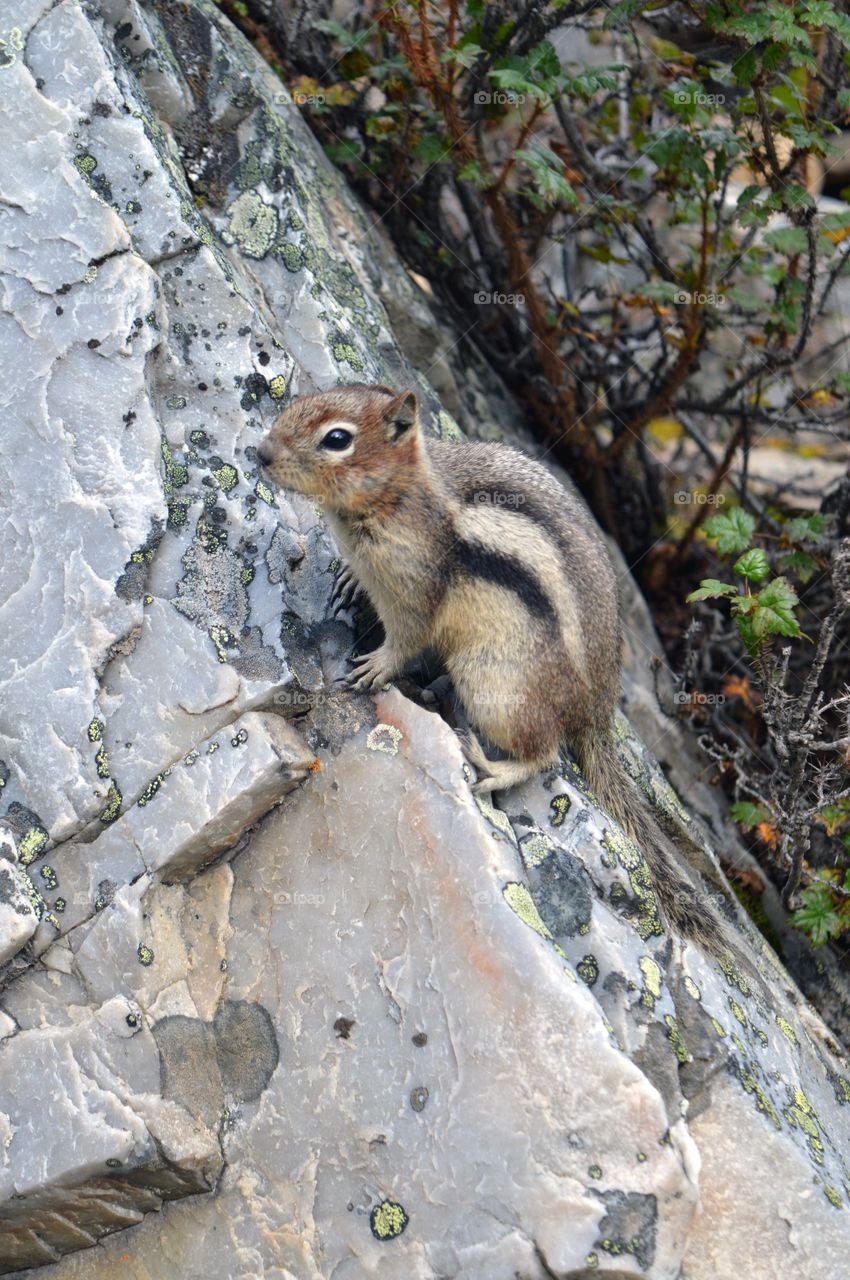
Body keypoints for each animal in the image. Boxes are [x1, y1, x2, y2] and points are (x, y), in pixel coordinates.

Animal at [256, 383, 743, 953]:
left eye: (337, 439)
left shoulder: (416, 592)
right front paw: (351, 580)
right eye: (302, 402)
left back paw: (492, 767)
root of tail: (598, 707)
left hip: (495, 685)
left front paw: (375, 667)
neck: (400, 493)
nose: (261, 453)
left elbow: (407, 640)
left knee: (546, 753)